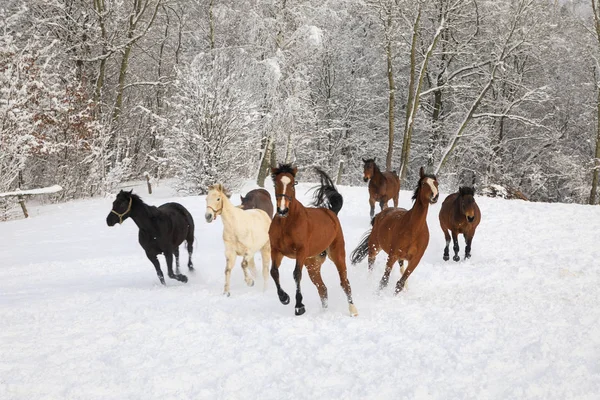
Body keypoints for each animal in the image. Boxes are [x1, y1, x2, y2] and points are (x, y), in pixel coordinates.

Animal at [270, 164, 358, 318]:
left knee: (344, 283)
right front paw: (284, 298)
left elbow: (296, 274)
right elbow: (274, 272)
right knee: (322, 288)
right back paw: (324, 312)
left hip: (337, 254)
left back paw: (353, 310)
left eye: (292, 184)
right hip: (312, 264)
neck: (286, 223)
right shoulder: (276, 251)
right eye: (276, 184)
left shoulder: (300, 252)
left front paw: (299, 306)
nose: (282, 210)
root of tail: (332, 213)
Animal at [350, 166, 438, 294]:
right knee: (371, 265)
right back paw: (368, 281)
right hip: (374, 247)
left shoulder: (415, 260)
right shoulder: (393, 255)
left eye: (436, 183)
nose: (435, 196)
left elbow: (400, 283)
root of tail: (379, 215)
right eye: (423, 183)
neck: (414, 229)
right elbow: (384, 281)